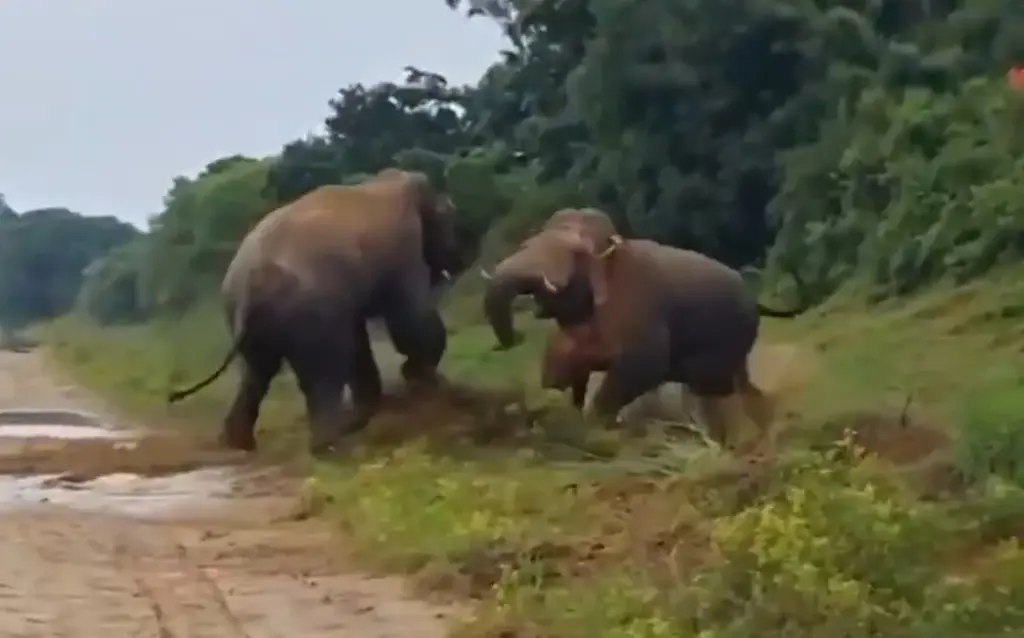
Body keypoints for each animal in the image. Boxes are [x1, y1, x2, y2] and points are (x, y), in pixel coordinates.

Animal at [166, 168, 463, 455]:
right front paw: (422, 380)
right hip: (309, 310)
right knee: (323, 372)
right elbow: (410, 318)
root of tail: (253, 282)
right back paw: (331, 446)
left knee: (257, 371)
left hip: (244, 313)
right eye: (448, 220)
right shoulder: (403, 249)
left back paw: (241, 444)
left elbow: (363, 337)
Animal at [481, 209, 808, 452]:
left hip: (729, 337)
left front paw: (599, 433)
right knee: (737, 388)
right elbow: (564, 368)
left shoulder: (642, 307)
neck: (613, 243)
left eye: (577, 252)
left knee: (713, 392)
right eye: (526, 244)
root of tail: (755, 300)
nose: (516, 337)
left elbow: (645, 366)